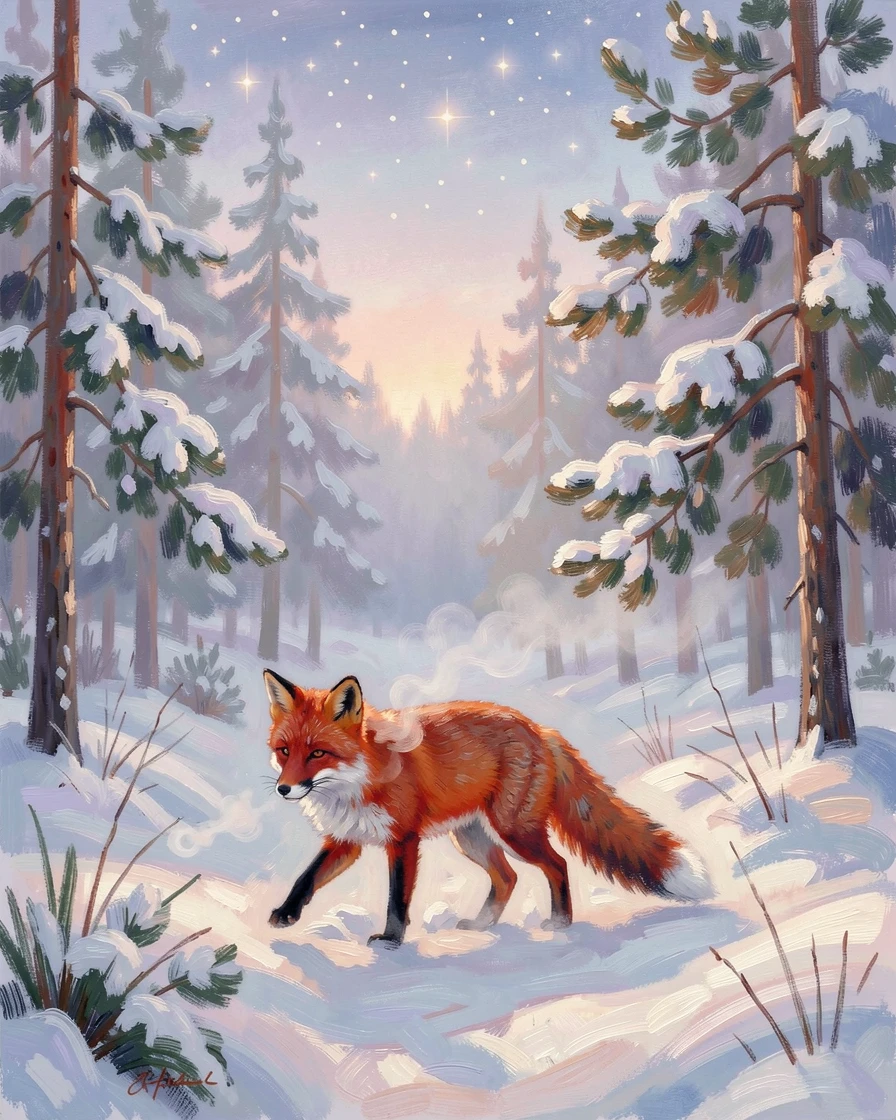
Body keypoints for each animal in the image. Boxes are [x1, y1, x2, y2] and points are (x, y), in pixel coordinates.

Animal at [263, 669, 711, 947]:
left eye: (318, 753)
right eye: (285, 751)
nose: (284, 789)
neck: (358, 780)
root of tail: (541, 729)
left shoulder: (403, 840)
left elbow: (397, 898)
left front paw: (391, 940)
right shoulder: (346, 839)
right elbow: (307, 878)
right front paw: (285, 915)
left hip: (514, 831)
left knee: (557, 864)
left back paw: (560, 923)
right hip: (472, 838)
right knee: (508, 877)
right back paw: (482, 925)